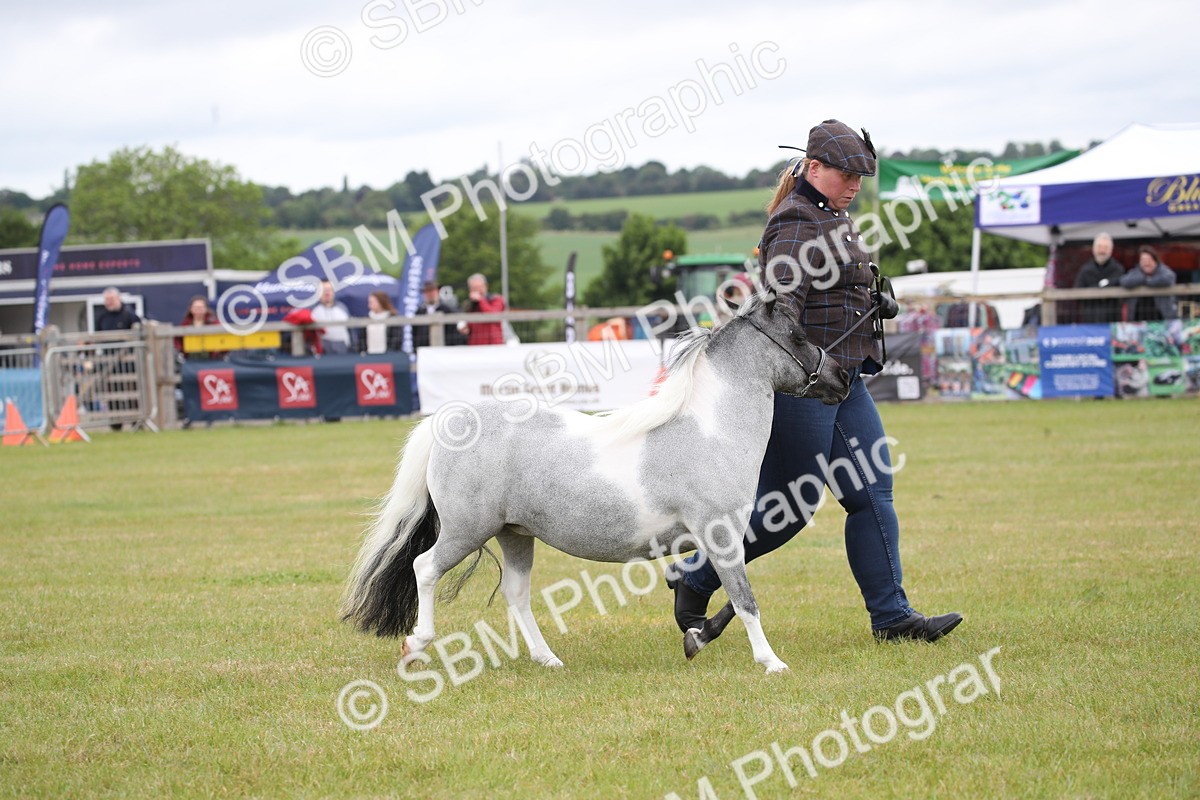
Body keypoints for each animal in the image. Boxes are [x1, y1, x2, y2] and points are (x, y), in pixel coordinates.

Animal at [340, 294, 850, 673]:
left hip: (514, 535)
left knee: (516, 595)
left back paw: (548, 659)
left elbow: (732, 595)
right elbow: (746, 599)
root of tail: (450, 422)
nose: (843, 377)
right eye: (798, 335)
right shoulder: (720, 534)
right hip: (467, 530)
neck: (711, 431)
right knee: (424, 568)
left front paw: (699, 636)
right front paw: (771, 662)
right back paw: (416, 646)